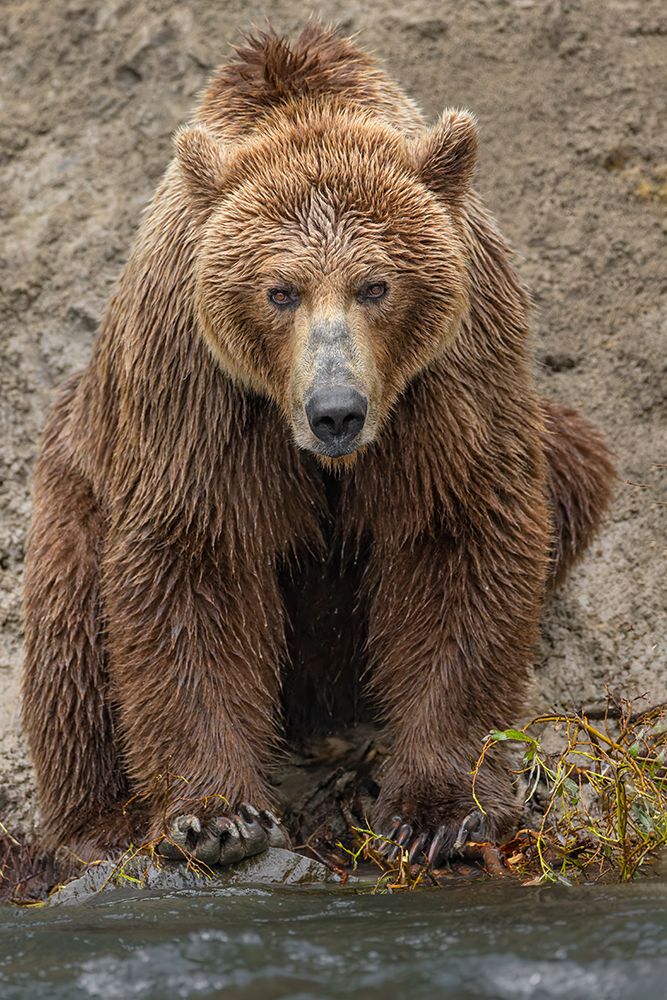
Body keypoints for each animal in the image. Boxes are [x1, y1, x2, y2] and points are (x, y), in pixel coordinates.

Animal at [22, 23, 614, 867]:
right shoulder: (202, 395)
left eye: (375, 285)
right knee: (70, 626)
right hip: (81, 466)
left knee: (573, 463)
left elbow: (456, 542)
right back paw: (98, 825)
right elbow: (194, 564)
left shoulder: (447, 382)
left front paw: (438, 811)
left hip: (544, 433)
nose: (336, 410)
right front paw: (217, 816)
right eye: (279, 291)